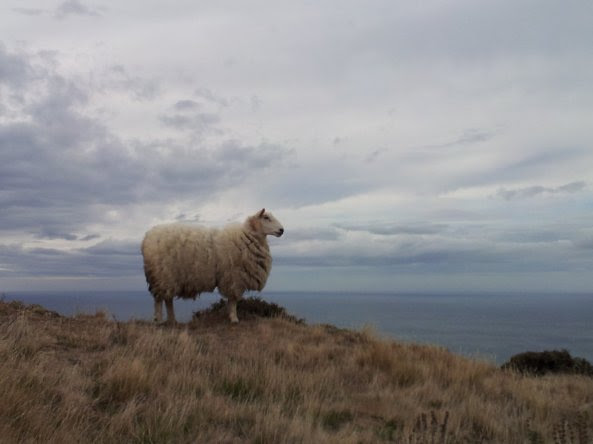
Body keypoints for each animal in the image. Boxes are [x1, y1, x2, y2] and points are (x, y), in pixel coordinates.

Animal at [141, 208, 284, 322]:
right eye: (266, 218)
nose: (282, 230)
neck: (247, 236)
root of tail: (147, 238)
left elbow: (231, 300)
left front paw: (231, 317)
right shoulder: (234, 277)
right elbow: (233, 300)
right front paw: (234, 319)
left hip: (168, 278)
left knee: (167, 299)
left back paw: (172, 320)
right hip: (162, 275)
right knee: (160, 300)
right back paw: (159, 320)